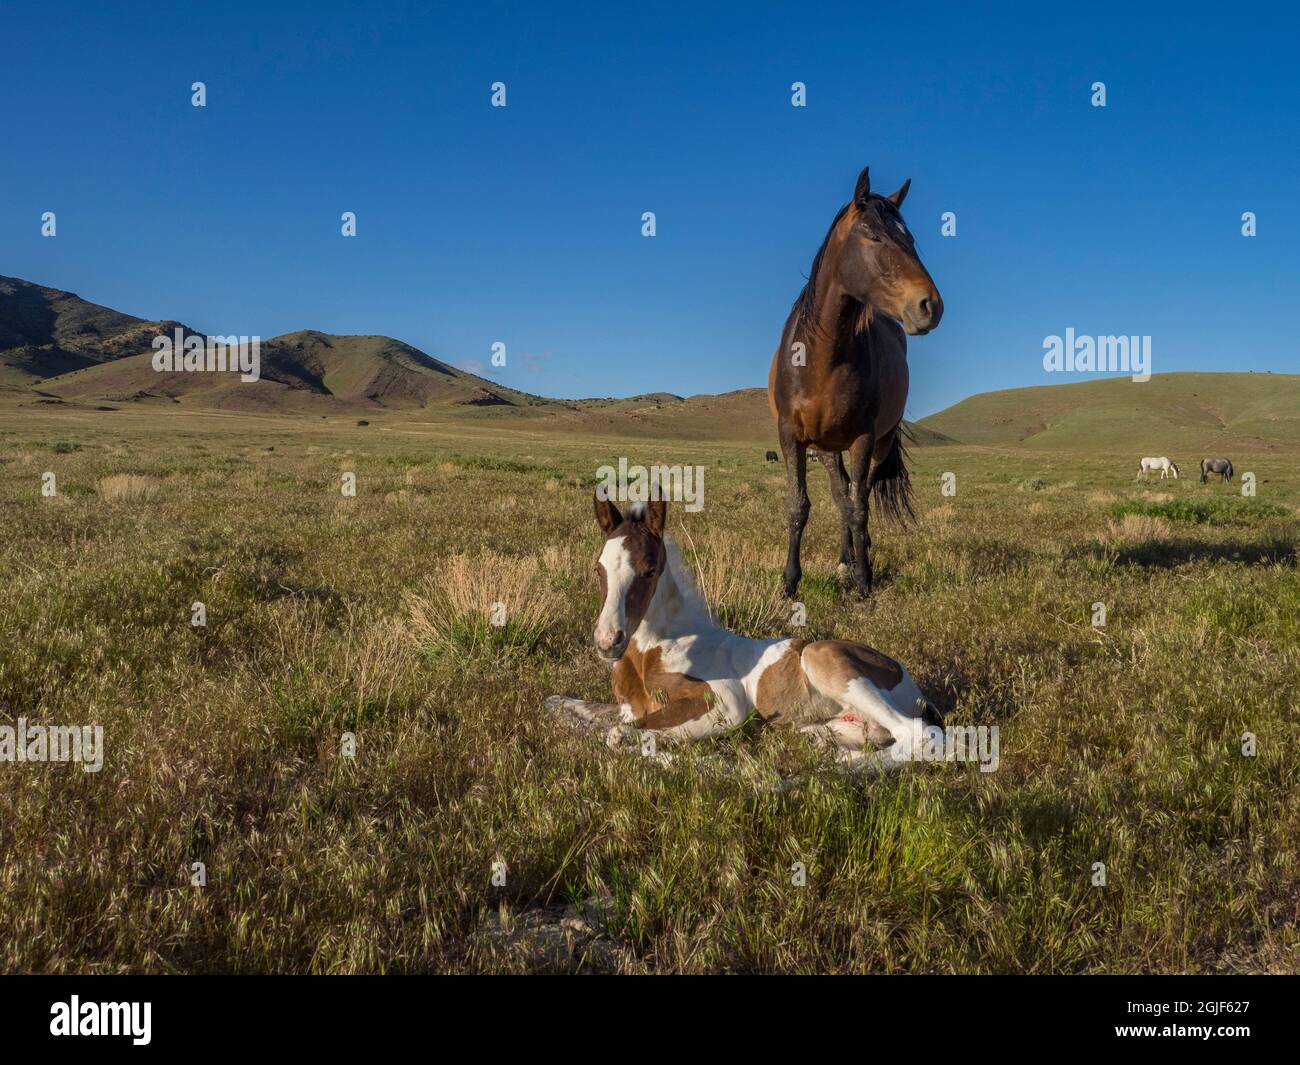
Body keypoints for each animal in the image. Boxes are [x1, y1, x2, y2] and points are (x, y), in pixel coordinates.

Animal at [547, 493, 944, 775]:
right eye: (598, 568)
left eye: (648, 570)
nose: (607, 641)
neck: (655, 650)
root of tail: (912, 685)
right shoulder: (626, 708)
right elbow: (570, 709)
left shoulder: (726, 703)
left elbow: (620, 734)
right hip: (832, 727)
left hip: (820, 656)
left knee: (920, 736)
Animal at [768, 166, 943, 599]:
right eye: (875, 236)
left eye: (910, 240)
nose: (930, 306)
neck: (821, 356)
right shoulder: (791, 437)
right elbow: (799, 506)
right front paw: (790, 581)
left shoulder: (863, 438)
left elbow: (861, 507)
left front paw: (865, 581)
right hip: (827, 447)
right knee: (841, 493)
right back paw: (845, 557)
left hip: (877, 443)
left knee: (857, 494)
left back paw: (859, 557)